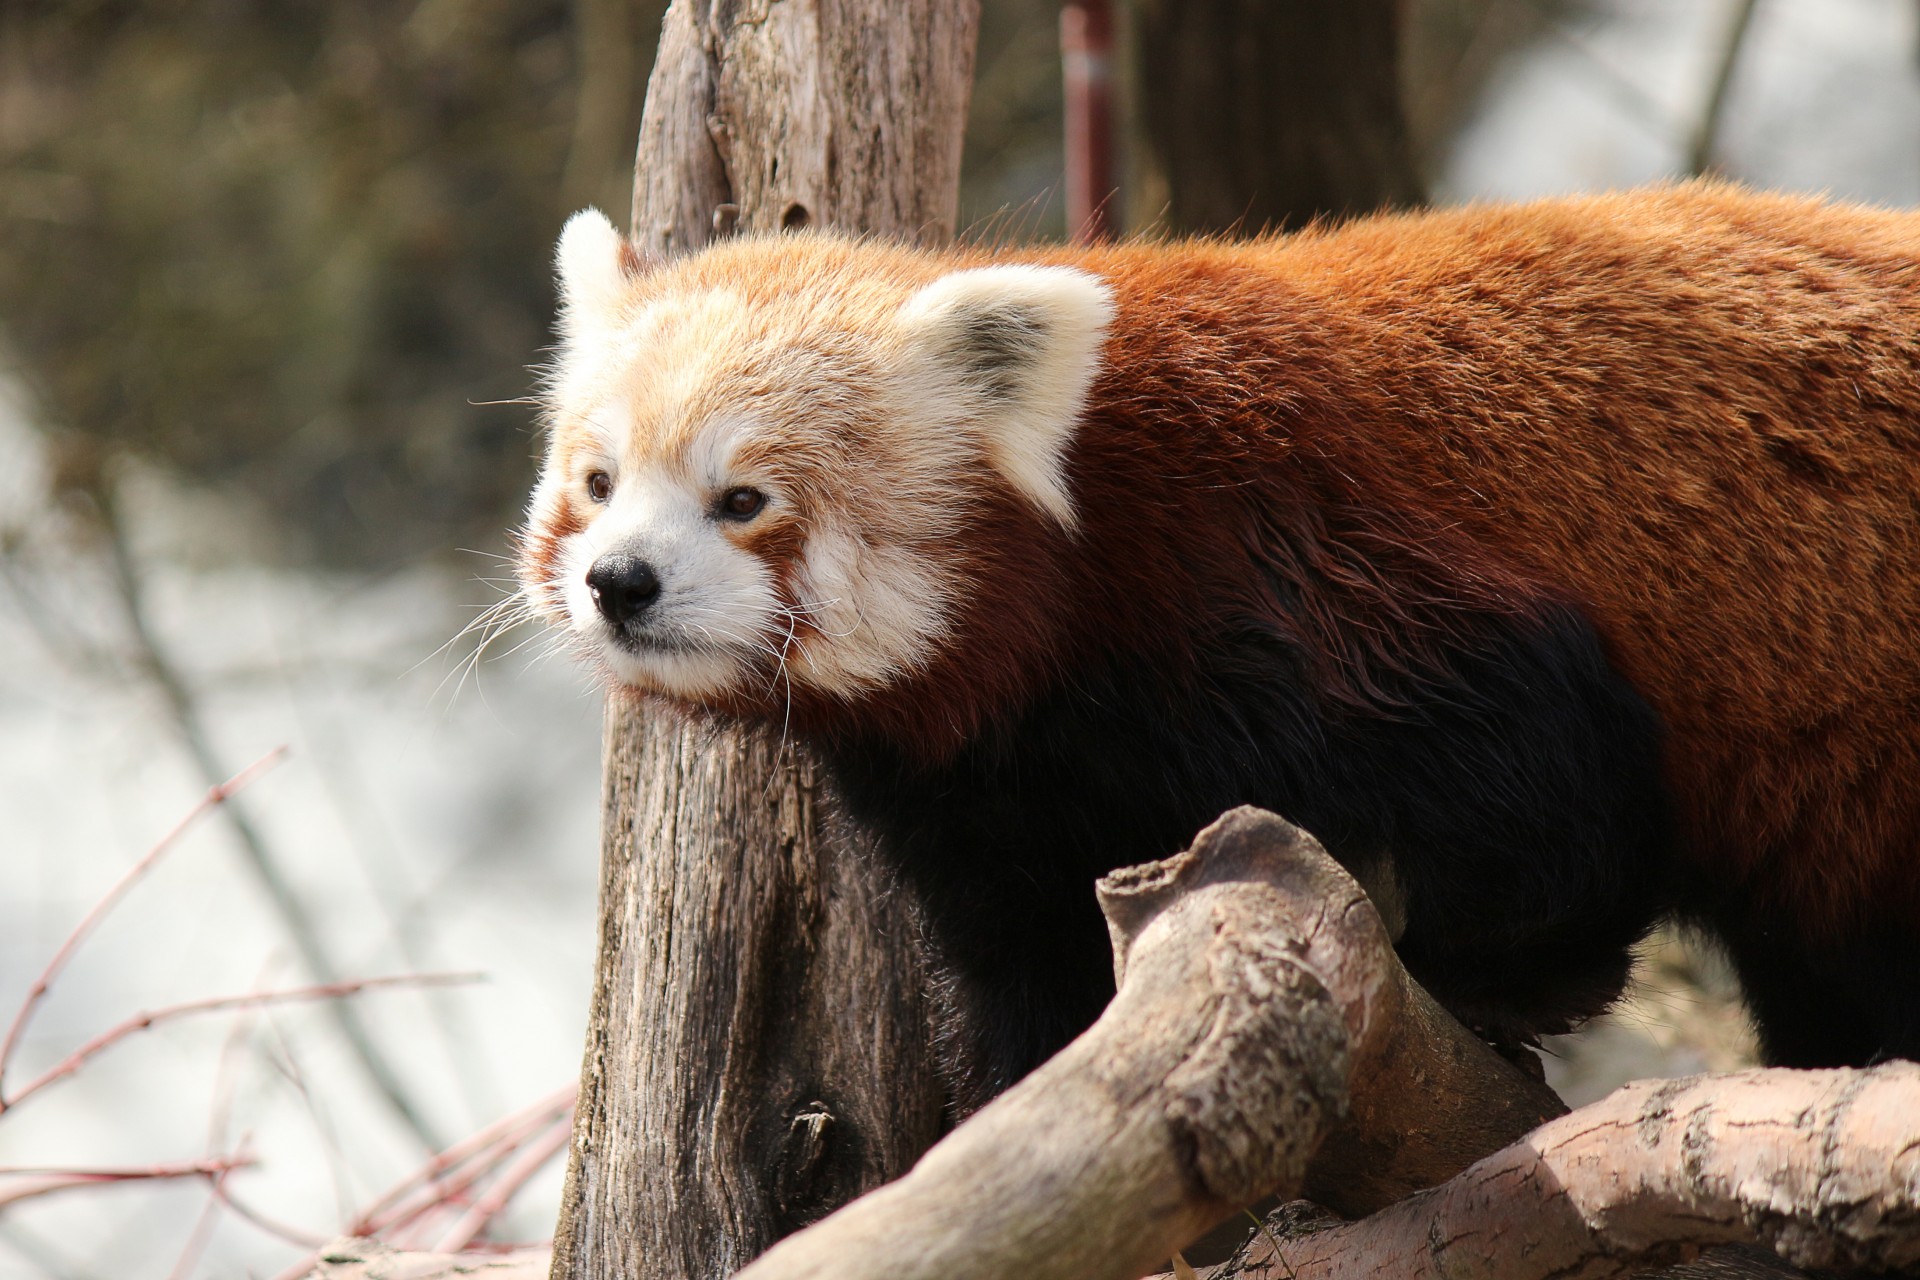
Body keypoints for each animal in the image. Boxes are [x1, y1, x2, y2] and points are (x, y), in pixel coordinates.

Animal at [522, 182, 1920, 1113]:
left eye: (743, 498)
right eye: (596, 482)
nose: (619, 583)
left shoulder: (1292, 562)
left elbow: (1558, 788)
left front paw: (1505, 978)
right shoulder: (994, 788)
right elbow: (1034, 953)